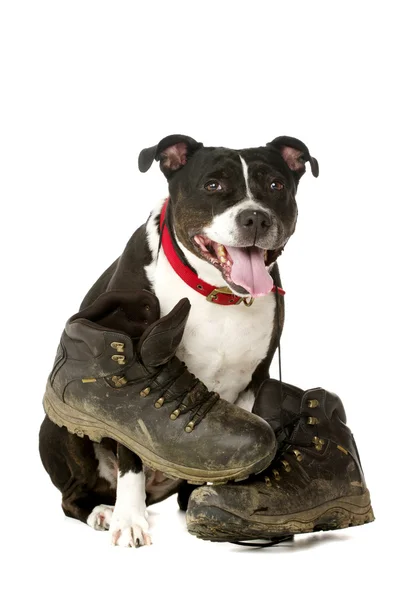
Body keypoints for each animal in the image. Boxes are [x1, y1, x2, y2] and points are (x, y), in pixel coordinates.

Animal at [39, 134, 318, 548]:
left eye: (275, 185)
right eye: (213, 185)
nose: (255, 217)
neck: (215, 292)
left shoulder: (255, 382)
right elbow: (130, 455)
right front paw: (130, 521)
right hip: (61, 429)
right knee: (73, 495)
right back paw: (104, 511)